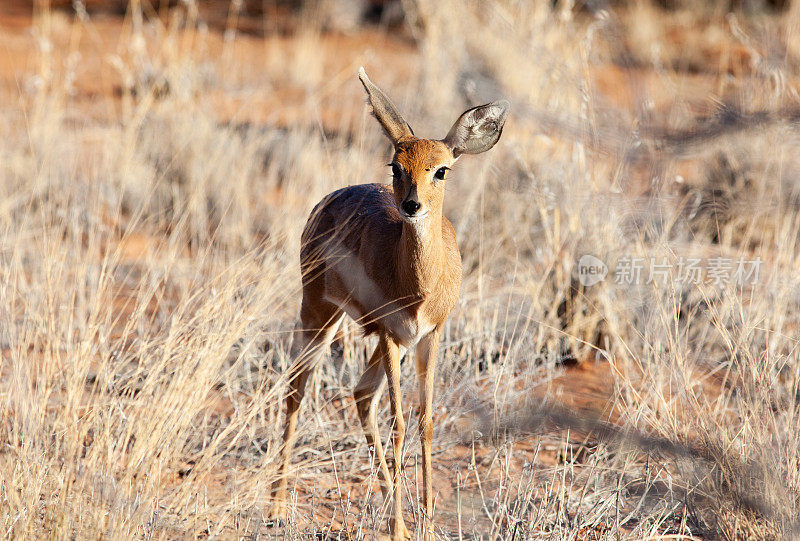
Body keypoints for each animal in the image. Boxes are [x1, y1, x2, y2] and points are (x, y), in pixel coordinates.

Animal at [272, 69, 510, 536]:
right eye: (396, 165)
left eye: (442, 170)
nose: (411, 205)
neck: (419, 287)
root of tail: (329, 199)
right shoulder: (390, 334)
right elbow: (399, 424)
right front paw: (402, 528)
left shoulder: (428, 336)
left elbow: (425, 421)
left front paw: (427, 523)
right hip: (319, 314)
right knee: (298, 387)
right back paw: (274, 506)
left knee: (361, 393)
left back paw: (383, 503)